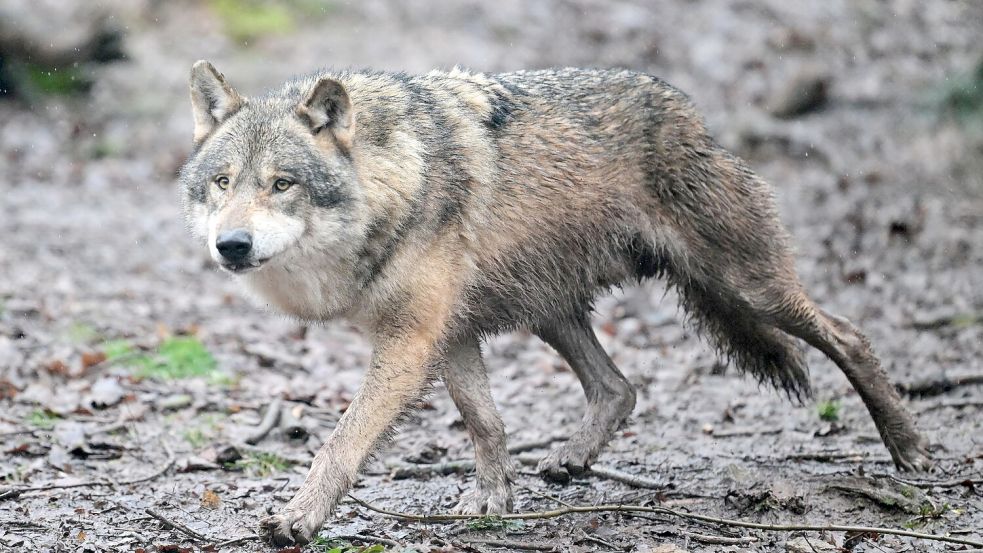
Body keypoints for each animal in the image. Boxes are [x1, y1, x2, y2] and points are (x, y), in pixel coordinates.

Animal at [179, 60, 931, 545]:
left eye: (282, 184)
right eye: (222, 182)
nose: (232, 245)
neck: (394, 181)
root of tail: (691, 113)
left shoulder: (410, 340)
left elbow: (340, 442)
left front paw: (297, 519)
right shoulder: (448, 333)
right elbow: (485, 422)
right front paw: (492, 501)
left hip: (748, 286)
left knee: (849, 334)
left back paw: (910, 450)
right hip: (550, 310)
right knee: (619, 387)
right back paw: (570, 459)